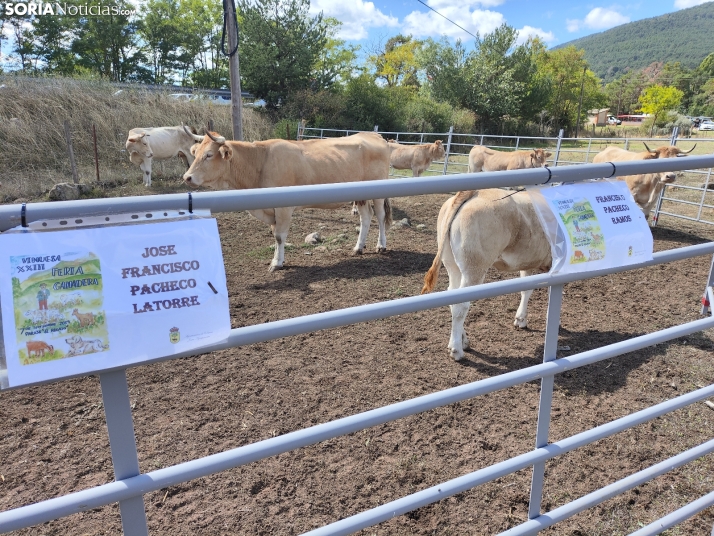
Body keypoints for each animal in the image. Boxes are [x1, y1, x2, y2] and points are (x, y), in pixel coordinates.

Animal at [178, 129, 390, 272]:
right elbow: (275, 236)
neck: (260, 162)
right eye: (196, 153)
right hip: (360, 195)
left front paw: (276, 263)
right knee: (366, 217)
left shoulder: (284, 208)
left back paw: (381, 245)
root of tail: (373, 135)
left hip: (378, 192)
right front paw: (277, 259)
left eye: (209, 155)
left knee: (379, 216)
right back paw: (358, 247)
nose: (187, 177)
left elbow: (280, 236)